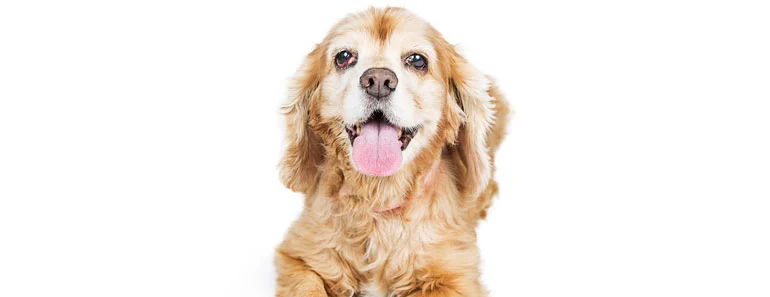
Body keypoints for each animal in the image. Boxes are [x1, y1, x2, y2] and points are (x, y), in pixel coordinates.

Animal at [276, 7, 510, 296]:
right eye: (343, 57)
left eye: (417, 60)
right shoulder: (298, 255)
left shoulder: (457, 276)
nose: (378, 80)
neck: (377, 200)